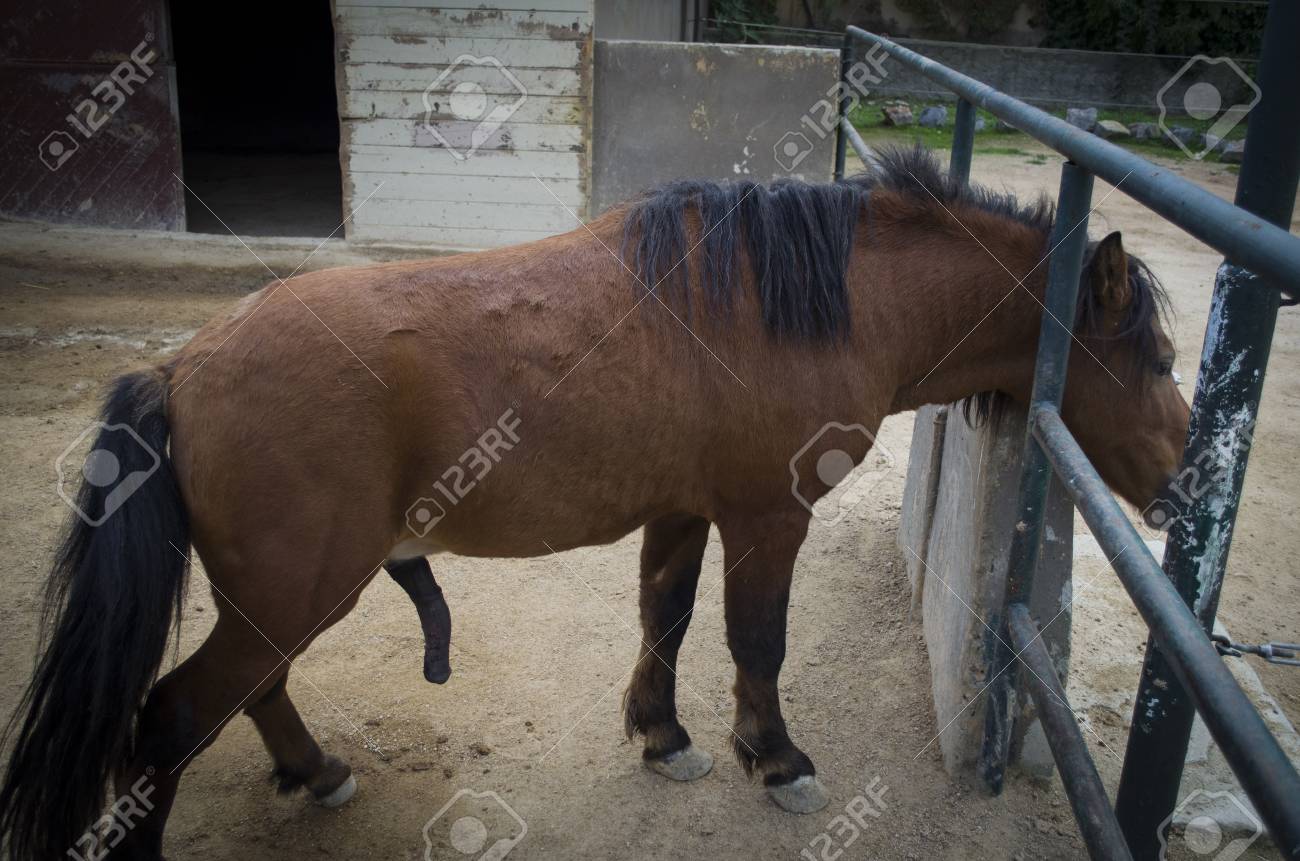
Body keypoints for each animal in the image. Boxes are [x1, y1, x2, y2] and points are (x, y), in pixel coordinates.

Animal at [0, 145, 1190, 858]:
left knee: (253, 691)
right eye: (1159, 356)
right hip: (298, 590)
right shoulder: (767, 518)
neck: (808, 300)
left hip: (276, 598)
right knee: (170, 721)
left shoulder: (684, 511)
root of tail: (180, 368)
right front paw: (776, 758)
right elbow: (756, 638)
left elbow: (664, 620)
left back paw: (318, 769)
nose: (1181, 481)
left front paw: (665, 739)